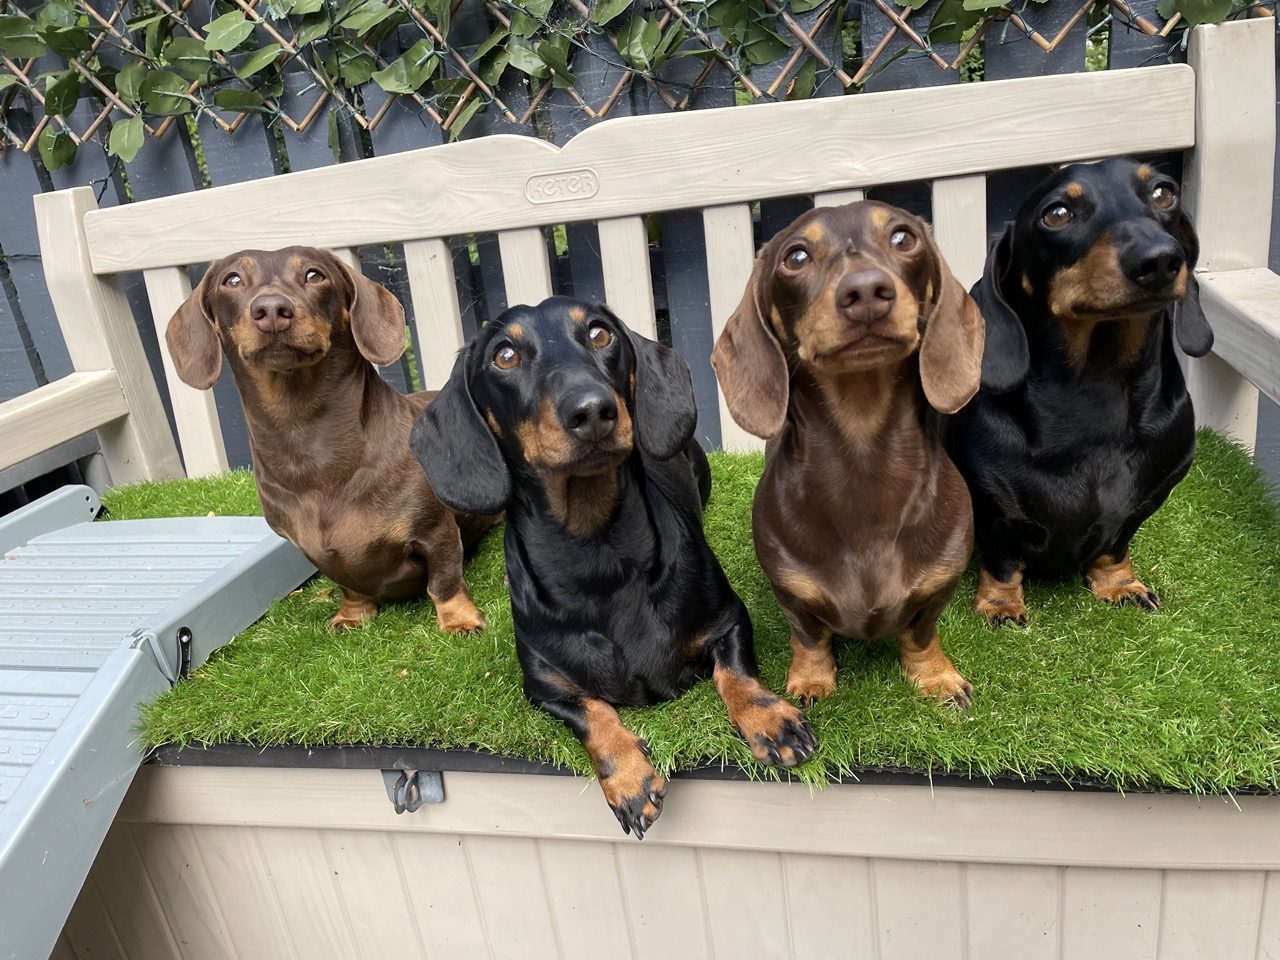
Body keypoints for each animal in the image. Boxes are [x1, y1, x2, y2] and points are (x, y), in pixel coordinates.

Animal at [166, 246, 492, 633]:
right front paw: (352, 614)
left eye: (314, 275)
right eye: (231, 280)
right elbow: (348, 585)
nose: (272, 309)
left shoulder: (436, 532)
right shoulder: (318, 555)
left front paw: (459, 620)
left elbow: (443, 581)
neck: (309, 449)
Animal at [411, 297, 816, 838]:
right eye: (504, 355)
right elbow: (592, 712)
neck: (598, 555)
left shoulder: (729, 620)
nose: (591, 410)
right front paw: (628, 777)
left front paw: (771, 720)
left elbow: (735, 673)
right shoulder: (543, 688)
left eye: (600, 333)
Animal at [712, 201, 983, 708]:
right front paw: (811, 680)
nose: (866, 290)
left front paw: (936, 677)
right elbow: (809, 636)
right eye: (796, 257)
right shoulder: (791, 592)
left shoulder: (940, 586)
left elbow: (921, 633)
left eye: (903, 238)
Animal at [947, 157, 1214, 625]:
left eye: (1164, 193)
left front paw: (1119, 584)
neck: (1096, 389)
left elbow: (1115, 547)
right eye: (1057, 214)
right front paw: (1000, 604)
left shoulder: (1148, 500)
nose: (1160, 260)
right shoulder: (992, 510)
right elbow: (1003, 561)